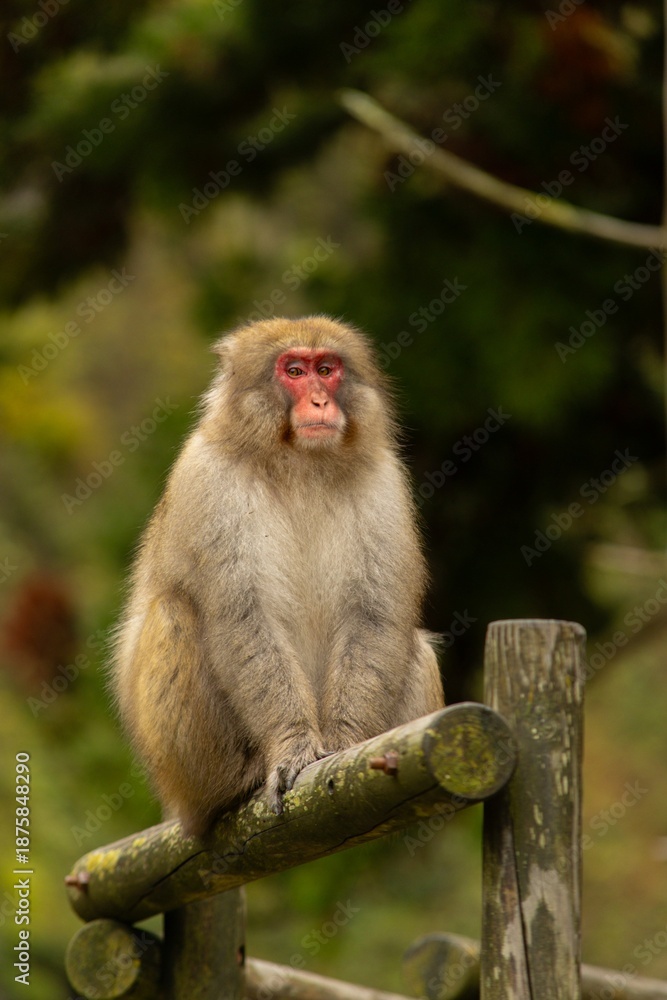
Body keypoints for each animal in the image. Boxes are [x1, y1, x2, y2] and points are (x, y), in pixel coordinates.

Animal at [111, 315, 443, 836]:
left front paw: (345, 743)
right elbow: (243, 619)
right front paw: (292, 747)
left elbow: (375, 618)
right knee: (174, 615)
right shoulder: (209, 479)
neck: (299, 464)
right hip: (182, 774)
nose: (321, 401)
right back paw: (237, 782)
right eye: (294, 371)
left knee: (418, 648)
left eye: (326, 369)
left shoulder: (385, 481)